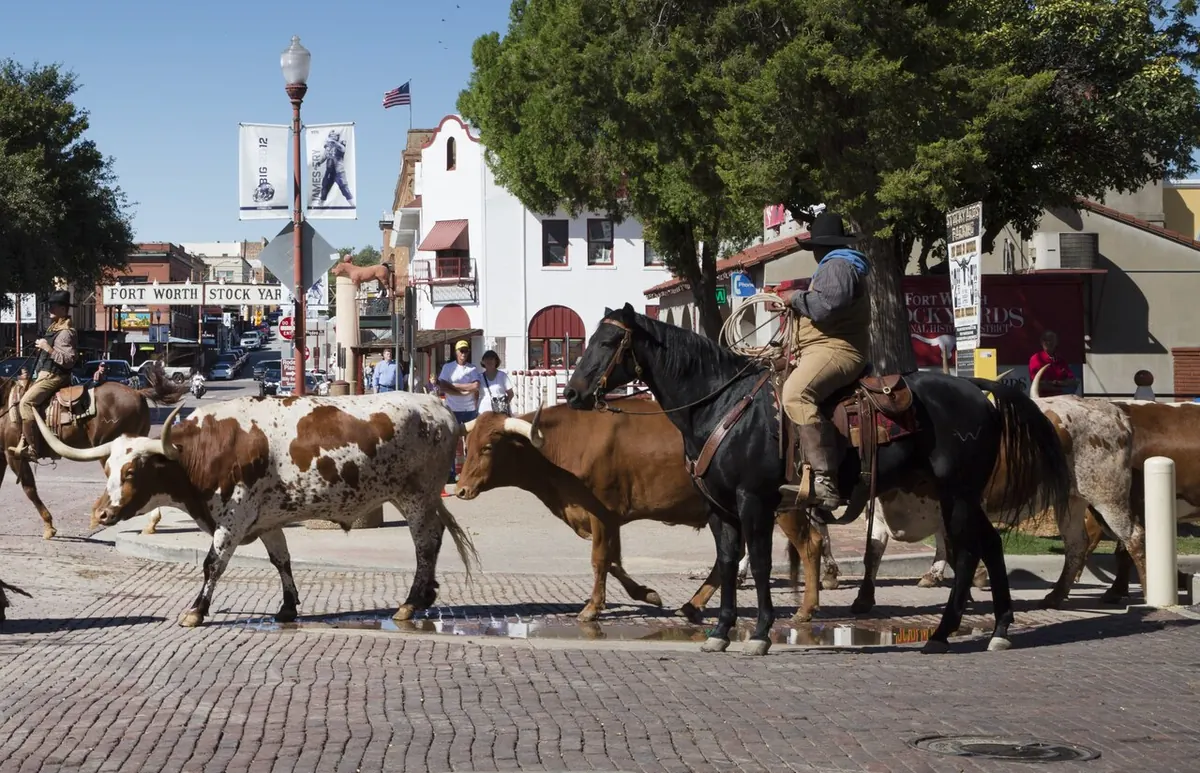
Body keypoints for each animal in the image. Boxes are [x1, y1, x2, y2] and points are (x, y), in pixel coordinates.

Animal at [36, 393, 477, 627]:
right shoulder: (267, 520)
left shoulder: (233, 519)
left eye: (131, 471)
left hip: (416, 495)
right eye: (107, 469)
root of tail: (439, 407)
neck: (202, 451)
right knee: (433, 539)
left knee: (425, 543)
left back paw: (411, 602)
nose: (100, 516)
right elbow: (281, 560)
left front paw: (195, 611)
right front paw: (287, 607)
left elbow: (212, 565)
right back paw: (425, 596)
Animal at [455, 401, 830, 624]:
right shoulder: (610, 518)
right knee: (733, 555)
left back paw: (806, 609)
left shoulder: (601, 513)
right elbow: (613, 561)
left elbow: (600, 560)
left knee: (809, 544)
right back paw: (692, 604)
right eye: (467, 446)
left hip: (780, 507)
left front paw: (591, 608)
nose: (459, 489)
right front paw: (647, 594)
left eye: (488, 447)